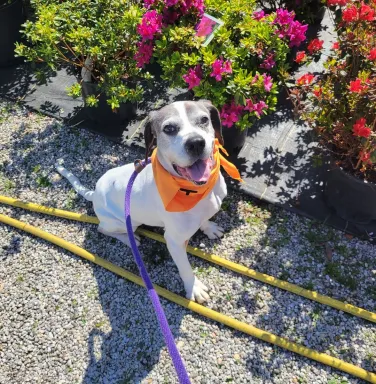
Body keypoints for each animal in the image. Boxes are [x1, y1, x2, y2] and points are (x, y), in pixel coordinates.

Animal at [54, 100, 242, 304]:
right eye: (169, 128)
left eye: (204, 120)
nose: (196, 143)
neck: (195, 191)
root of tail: (94, 193)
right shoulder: (174, 241)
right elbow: (184, 268)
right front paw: (194, 287)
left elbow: (204, 220)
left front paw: (209, 228)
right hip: (124, 222)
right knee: (103, 229)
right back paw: (130, 239)